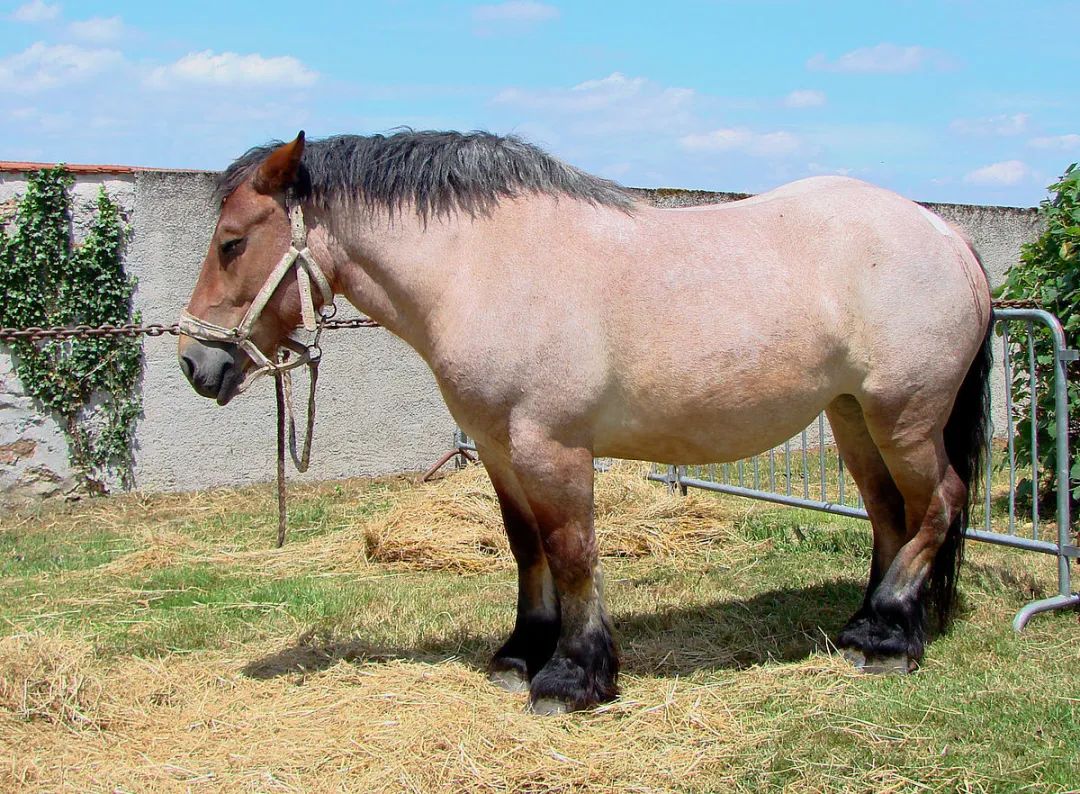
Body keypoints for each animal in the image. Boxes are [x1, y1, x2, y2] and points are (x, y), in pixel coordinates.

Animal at [174, 129, 989, 712]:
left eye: (233, 243)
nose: (194, 364)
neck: (487, 267)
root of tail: (945, 236)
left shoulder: (552, 447)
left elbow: (571, 553)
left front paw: (571, 676)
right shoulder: (499, 449)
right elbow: (526, 548)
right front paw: (519, 653)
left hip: (904, 416)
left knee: (939, 504)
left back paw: (888, 640)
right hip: (853, 418)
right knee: (891, 514)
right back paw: (869, 626)